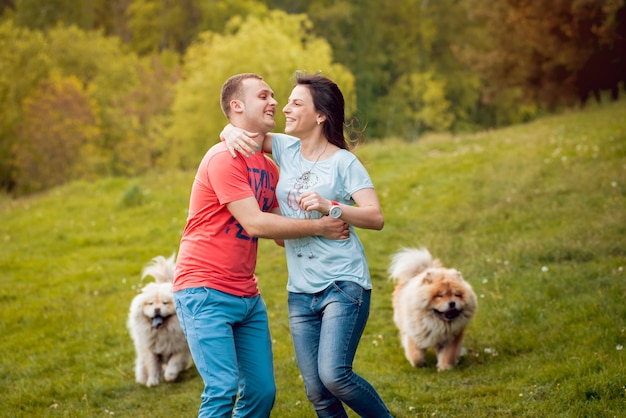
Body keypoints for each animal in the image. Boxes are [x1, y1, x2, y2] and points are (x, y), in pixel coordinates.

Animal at [126, 253, 190, 386]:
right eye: (150, 304)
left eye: (165, 303)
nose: (156, 309)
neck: (163, 332)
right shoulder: (151, 351)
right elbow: (153, 367)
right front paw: (152, 382)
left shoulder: (180, 348)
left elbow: (174, 363)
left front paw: (169, 376)